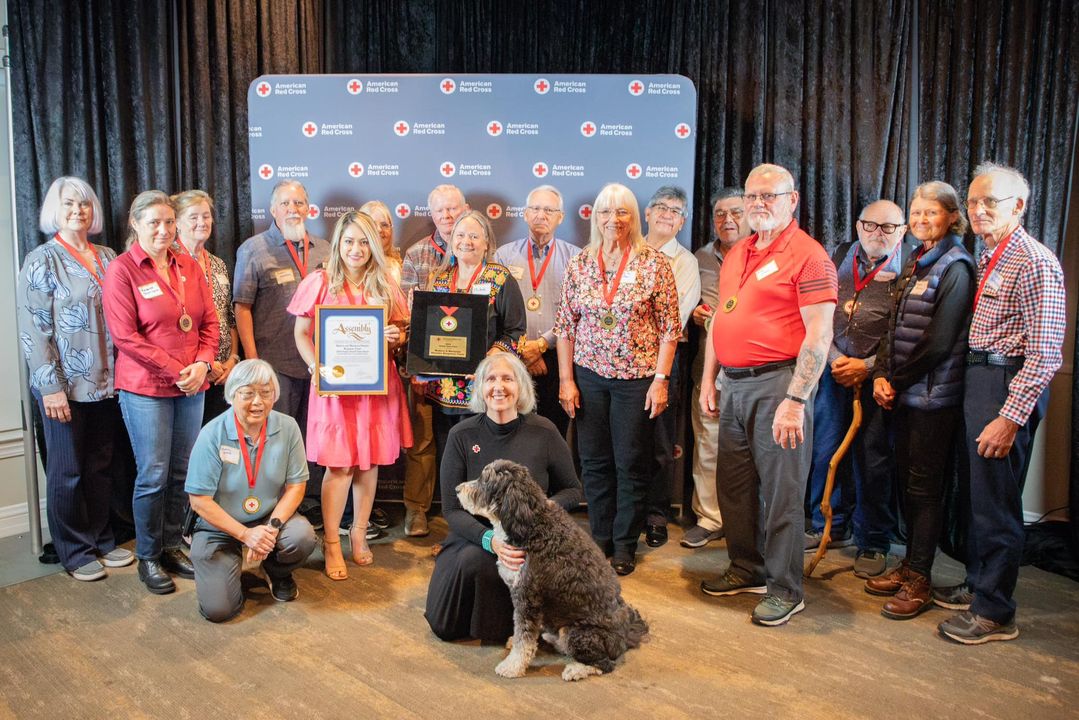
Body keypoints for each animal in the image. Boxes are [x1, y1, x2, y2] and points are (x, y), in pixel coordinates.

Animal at [453, 462, 643, 682]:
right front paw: (515, 644)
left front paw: (512, 666)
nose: (457, 489)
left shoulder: (527, 598)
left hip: (577, 633)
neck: (530, 524)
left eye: (485, 480)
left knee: (604, 664)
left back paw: (576, 669)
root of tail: (624, 639)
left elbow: (524, 637)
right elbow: (523, 634)